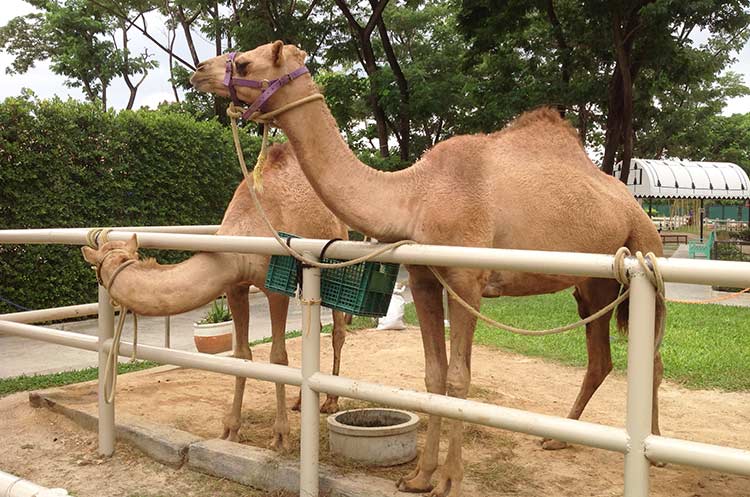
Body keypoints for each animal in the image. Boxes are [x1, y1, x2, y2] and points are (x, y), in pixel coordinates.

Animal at [81, 140, 352, 450]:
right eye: (98, 266)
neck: (246, 231)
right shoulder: (235, 287)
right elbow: (242, 354)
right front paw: (231, 430)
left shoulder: (275, 290)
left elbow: (278, 357)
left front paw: (280, 435)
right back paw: (300, 401)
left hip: (335, 254)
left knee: (338, 329)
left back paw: (330, 402)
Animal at [191, 42, 668, 496]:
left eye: (247, 64)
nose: (199, 71)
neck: (415, 196)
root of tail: (633, 205)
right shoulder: (422, 276)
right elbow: (434, 375)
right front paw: (420, 476)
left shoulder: (465, 280)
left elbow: (458, 379)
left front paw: (451, 480)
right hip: (594, 284)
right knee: (601, 358)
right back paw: (558, 437)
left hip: (646, 254)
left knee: (653, 356)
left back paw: (656, 454)